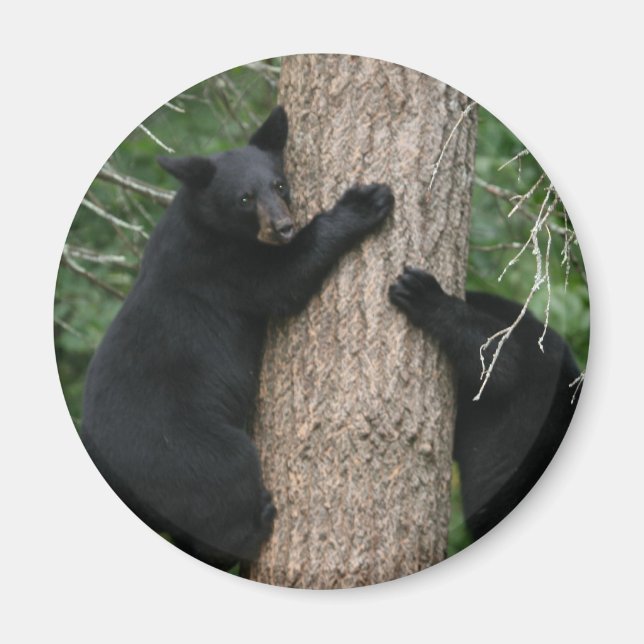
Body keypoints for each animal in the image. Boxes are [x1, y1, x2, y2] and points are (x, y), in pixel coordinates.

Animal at [81, 106, 395, 570]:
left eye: (279, 184)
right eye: (244, 199)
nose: (283, 226)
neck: (204, 222)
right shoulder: (221, 266)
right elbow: (287, 277)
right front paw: (365, 203)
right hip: (179, 449)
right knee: (225, 476)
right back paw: (257, 524)